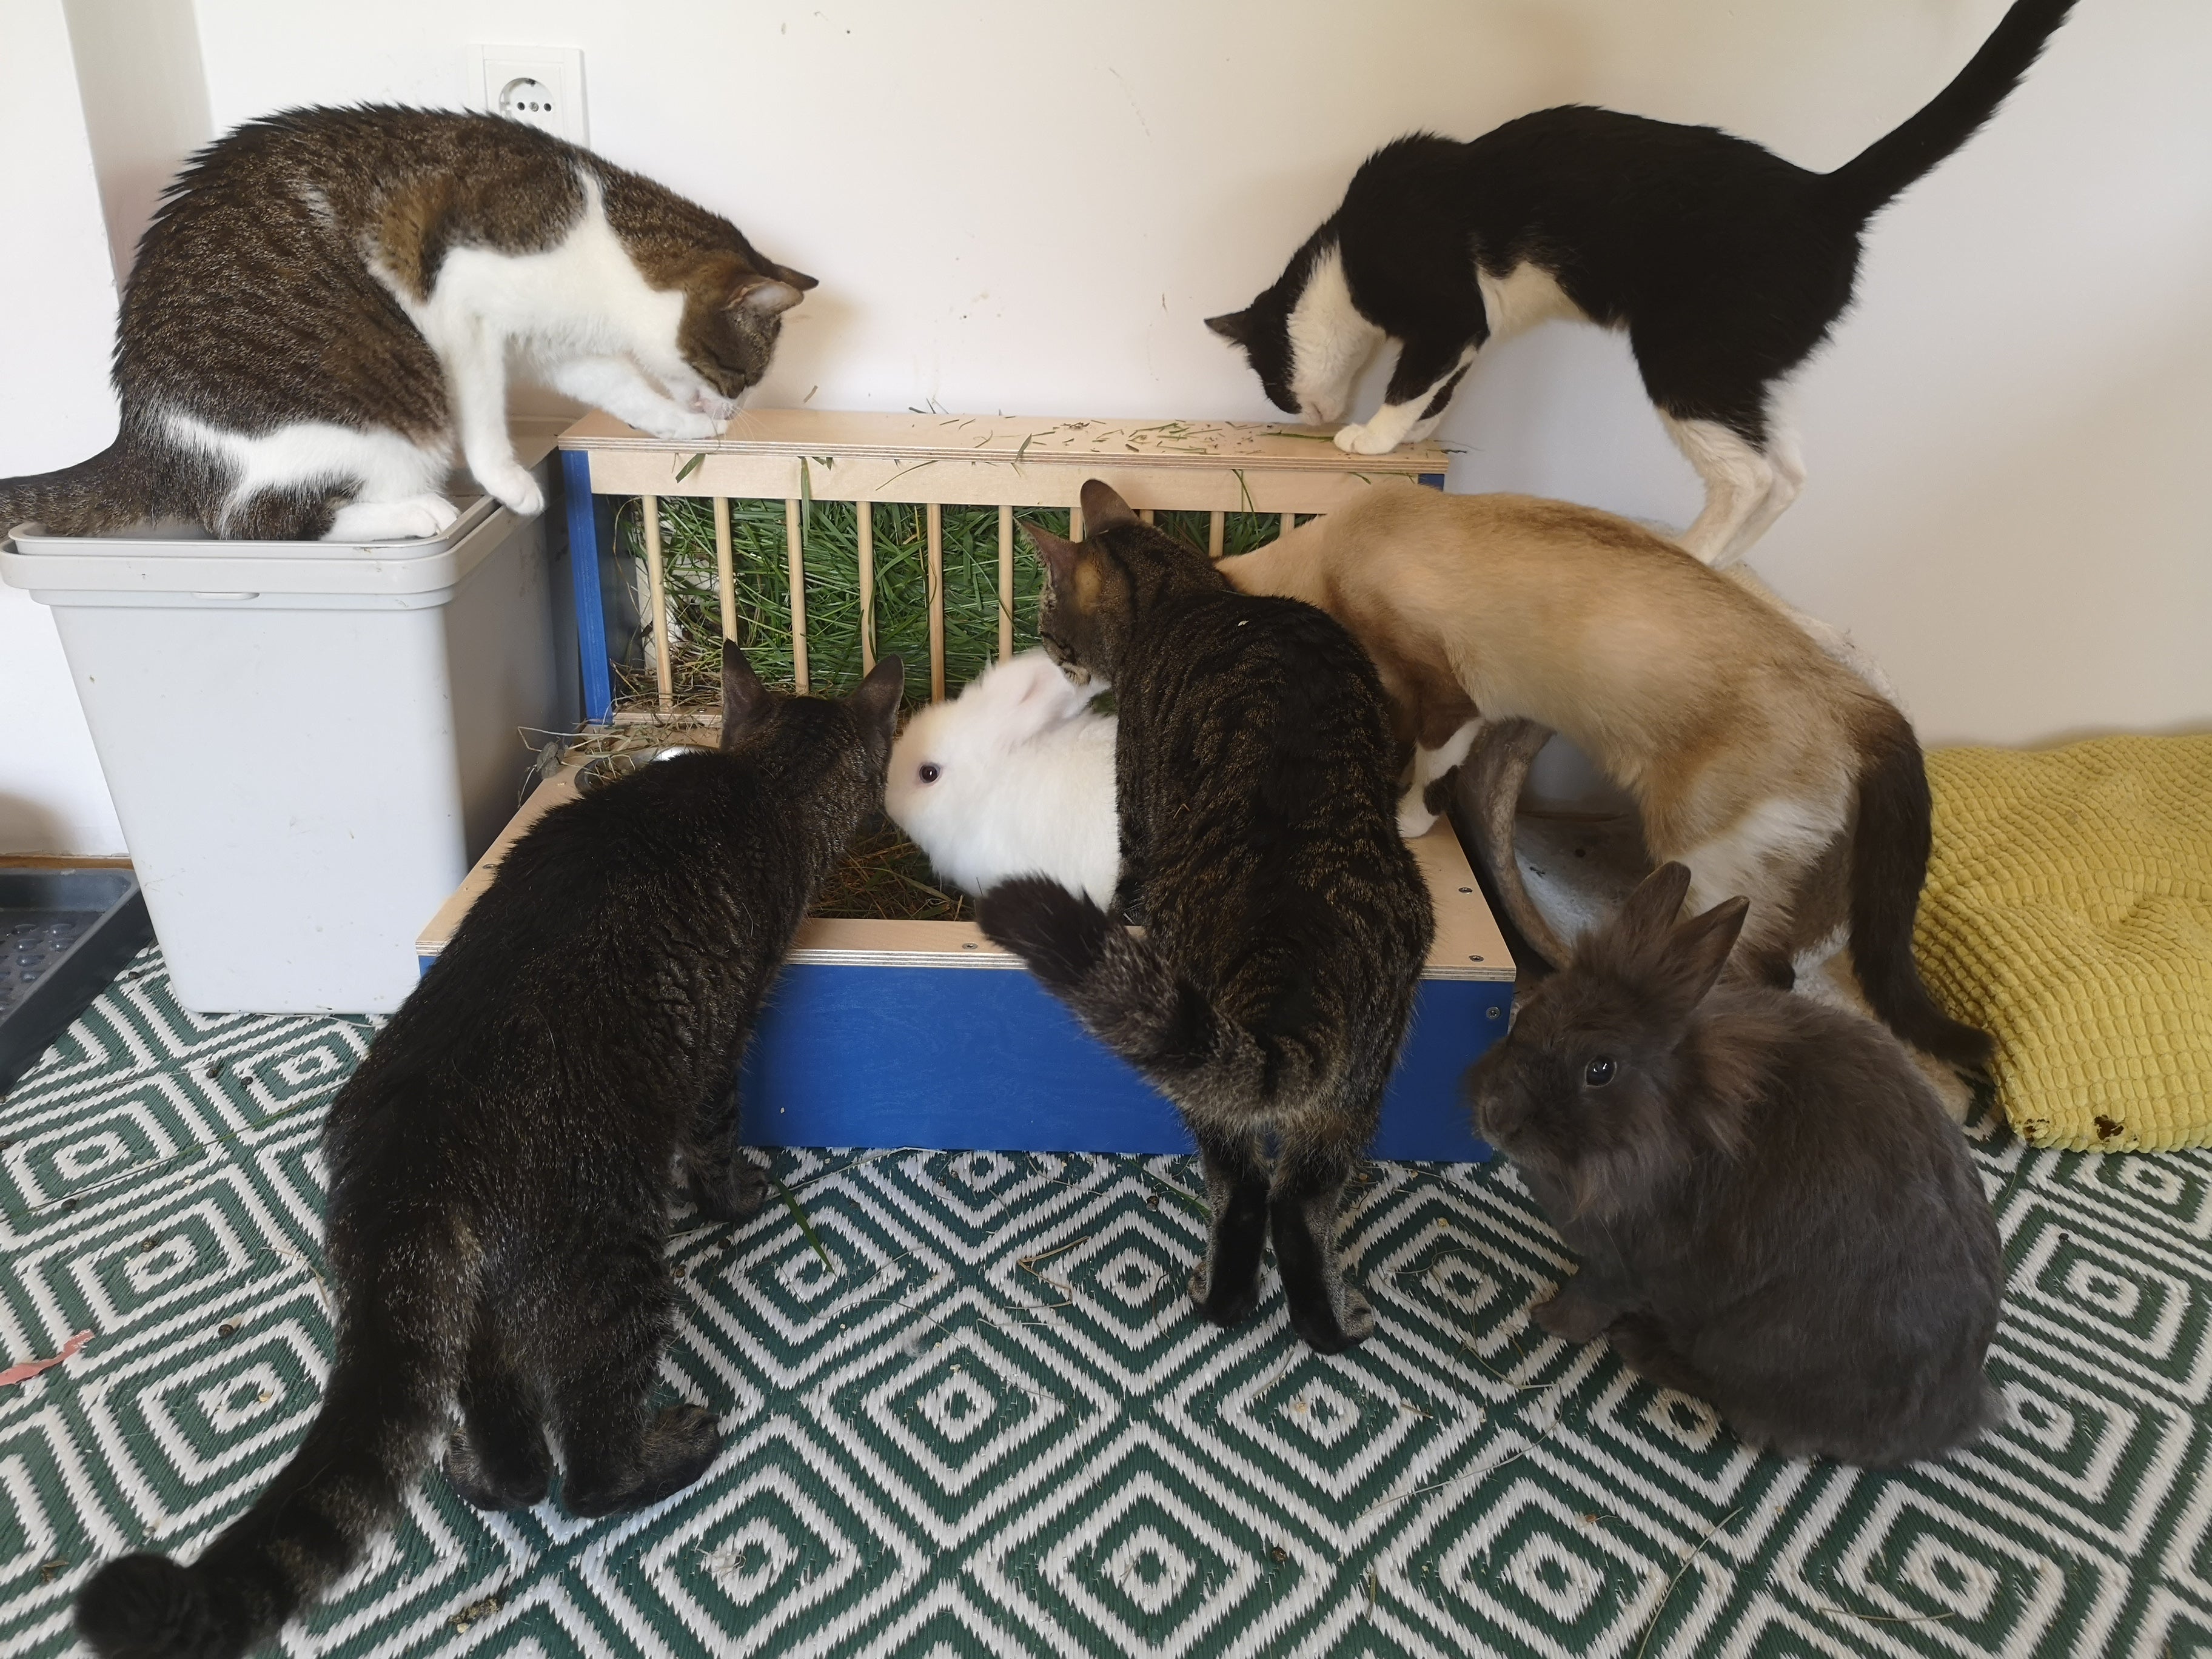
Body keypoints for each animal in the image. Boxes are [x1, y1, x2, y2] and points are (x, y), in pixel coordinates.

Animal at [1466, 861, 2004, 1467]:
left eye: (1599, 1070)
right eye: (1527, 1017)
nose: (1495, 1116)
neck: (1670, 1118)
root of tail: (1950, 1417)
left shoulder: (1625, 1263)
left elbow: (1588, 1300)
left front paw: (1547, 1318)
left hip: (1748, 1343)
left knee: (1739, 1403)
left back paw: (1642, 1347)